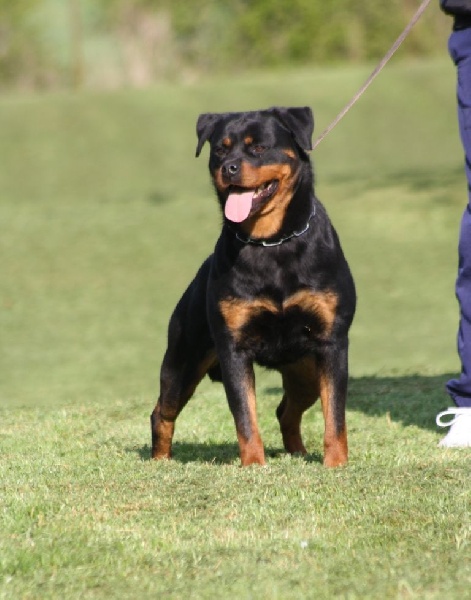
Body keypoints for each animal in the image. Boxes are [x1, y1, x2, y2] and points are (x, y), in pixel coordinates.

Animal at [153, 105, 356, 466]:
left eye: (259, 147)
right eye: (220, 149)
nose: (229, 167)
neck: (271, 242)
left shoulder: (332, 343)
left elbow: (335, 416)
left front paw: (336, 465)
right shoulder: (234, 349)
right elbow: (245, 417)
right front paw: (254, 466)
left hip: (306, 370)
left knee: (286, 411)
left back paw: (298, 452)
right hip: (182, 361)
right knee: (163, 411)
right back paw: (160, 461)